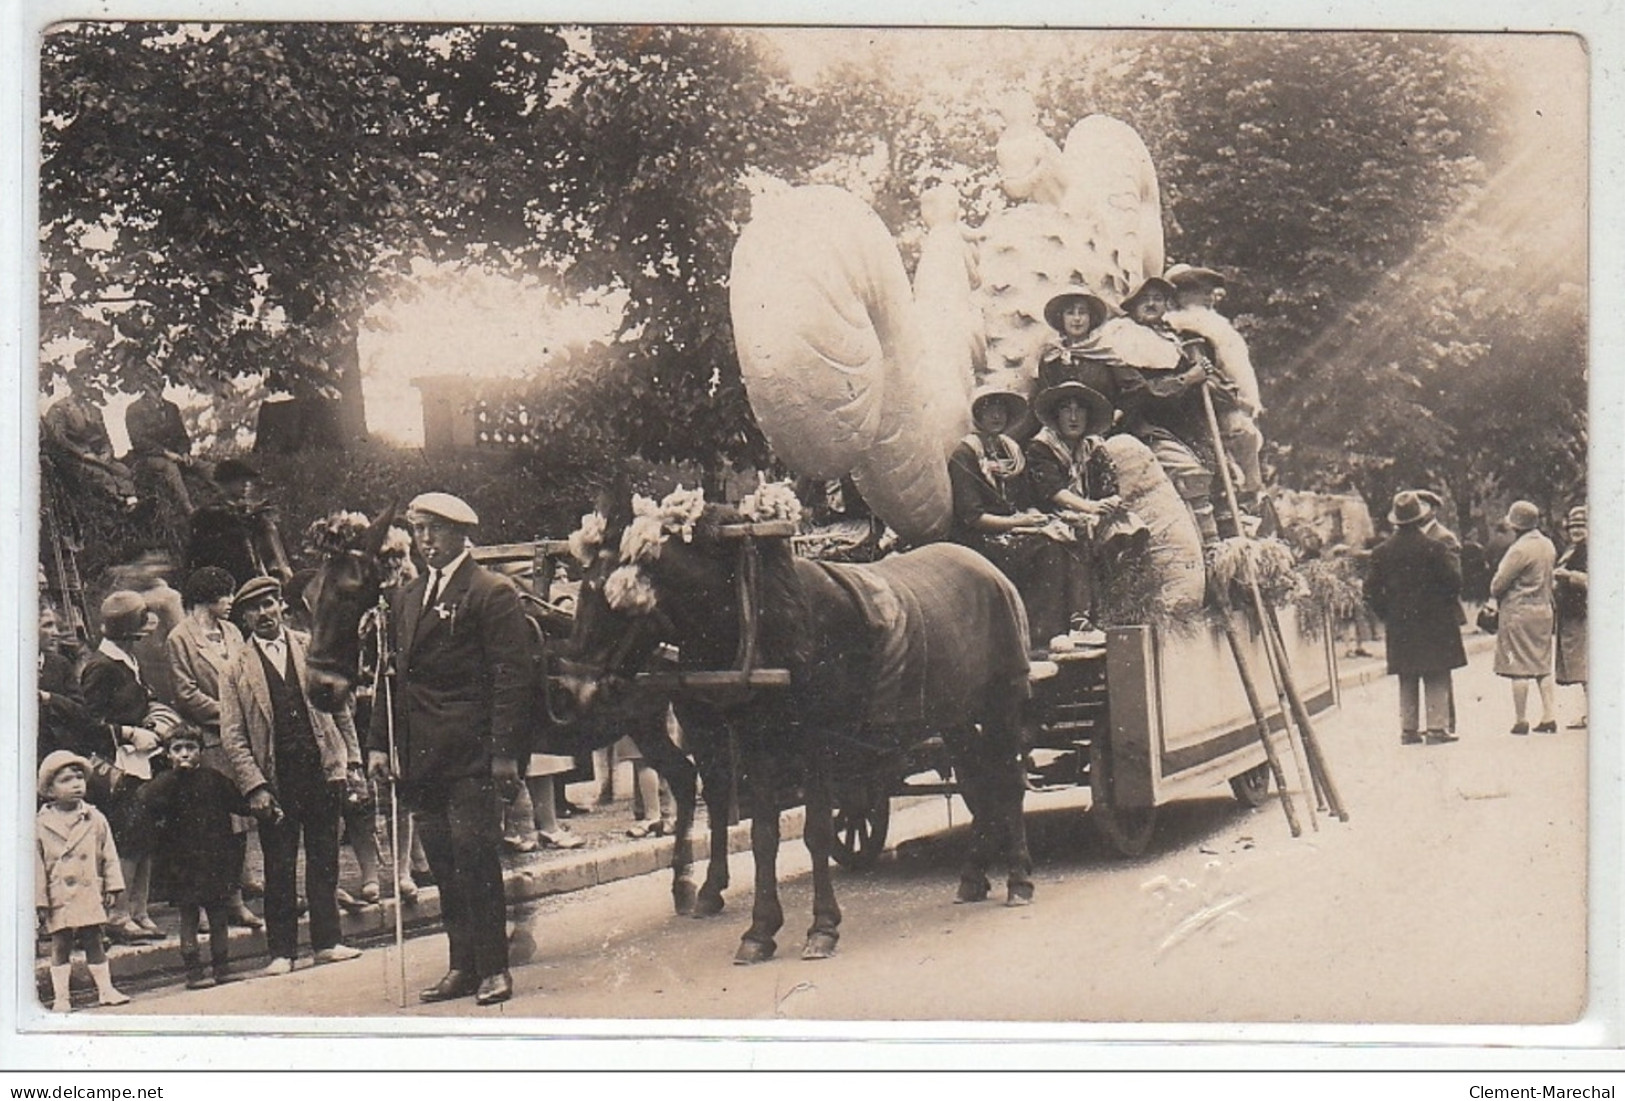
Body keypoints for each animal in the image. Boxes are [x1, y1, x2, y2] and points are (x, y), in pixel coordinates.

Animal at [299, 509, 718, 915]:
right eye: (309, 595)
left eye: (348, 591)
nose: (319, 687)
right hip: (645, 723)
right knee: (686, 777)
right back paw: (684, 883)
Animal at [565, 493, 1033, 967]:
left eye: (608, 599)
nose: (572, 690)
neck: (762, 615)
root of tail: (988, 567)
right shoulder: (758, 745)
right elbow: (763, 836)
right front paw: (760, 930)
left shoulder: (817, 744)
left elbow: (817, 832)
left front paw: (822, 926)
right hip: (955, 716)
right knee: (979, 782)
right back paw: (973, 876)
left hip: (1004, 701)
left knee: (1008, 782)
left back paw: (1018, 879)